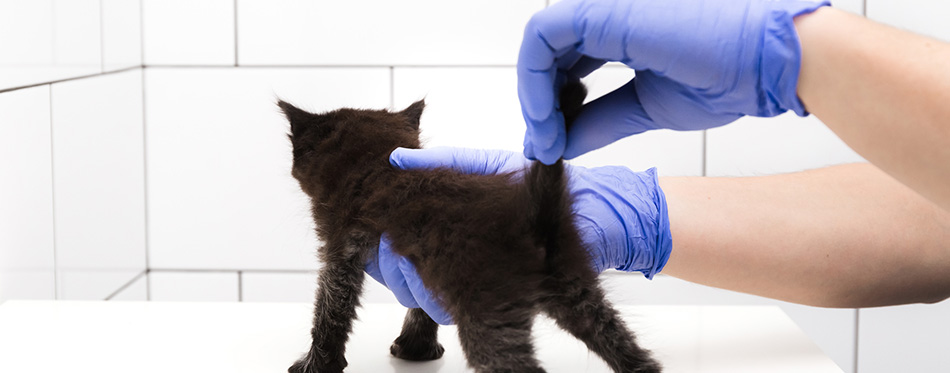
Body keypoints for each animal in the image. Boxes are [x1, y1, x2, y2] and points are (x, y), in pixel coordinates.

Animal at [278, 81, 660, 372]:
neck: (375, 164)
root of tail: (534, 219)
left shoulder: (341, 249)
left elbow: (330, 311)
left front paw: (315, 364)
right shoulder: (414, 268)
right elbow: (421, 305)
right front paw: (417, 349)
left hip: (489, 313)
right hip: (579, 294)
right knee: (631, 352)